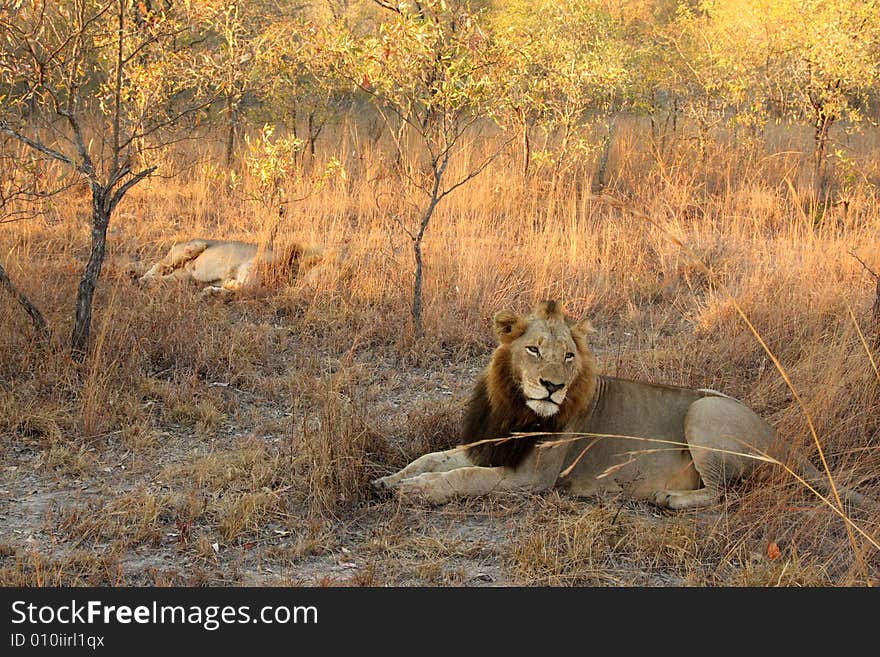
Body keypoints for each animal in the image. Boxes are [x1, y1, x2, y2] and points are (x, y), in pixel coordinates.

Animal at [139, 238, 324, 294]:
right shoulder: (251, 264)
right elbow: (247, 284)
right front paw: (229, 283)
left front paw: (211, 291)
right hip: (190, 247)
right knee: (159, 264)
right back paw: (144, 278)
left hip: (183, 277)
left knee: (167, 277)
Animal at [372, 300, 868, 510]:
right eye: (533, 349)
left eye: (569, 356)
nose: (552, 387)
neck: (516, 405)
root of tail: (785, 440)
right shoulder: (489, 446)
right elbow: (431, 459)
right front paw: (389, 480)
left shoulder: (530, 479)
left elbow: (460, 477)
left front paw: (413, 492)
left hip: (705, 411)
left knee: (725, 494)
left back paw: (669, 498)